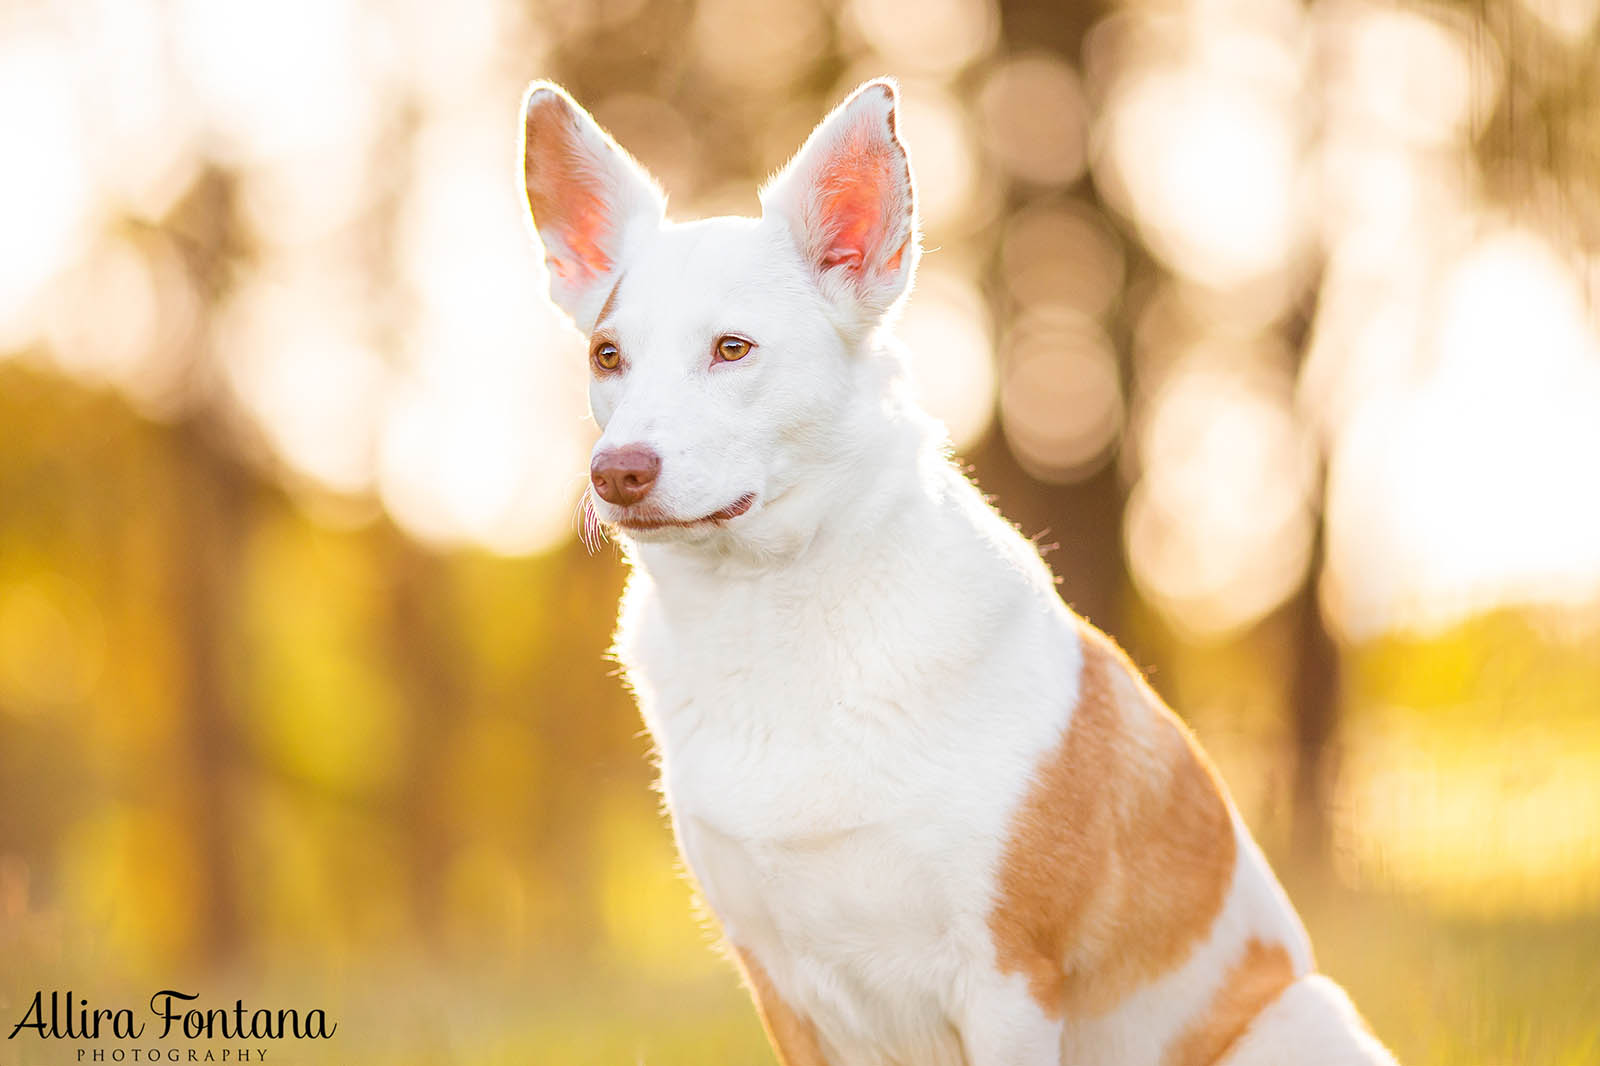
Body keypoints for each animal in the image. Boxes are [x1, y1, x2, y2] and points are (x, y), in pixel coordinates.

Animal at [518, 76, 1395, 1062]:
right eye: (608, 356)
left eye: (733, 349)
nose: (616, 472)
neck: (773, 608)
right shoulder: (782, 987)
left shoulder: (1008, 979)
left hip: (1302, 1016)